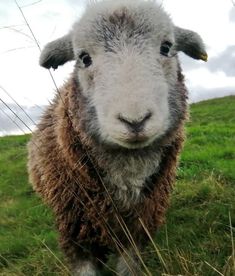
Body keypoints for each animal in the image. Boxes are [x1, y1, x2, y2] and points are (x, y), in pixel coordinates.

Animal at [28, 0, 207, 274]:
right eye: (84, 58)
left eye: (166, 47)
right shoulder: (78, 234)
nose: (135, 120)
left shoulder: (137, 228)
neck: (128, 173)